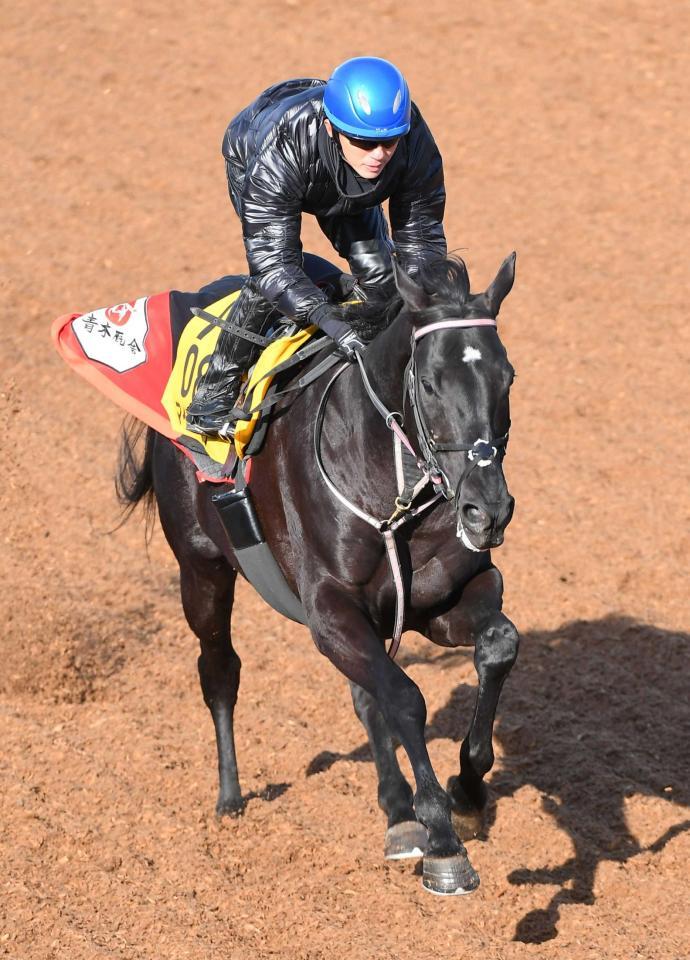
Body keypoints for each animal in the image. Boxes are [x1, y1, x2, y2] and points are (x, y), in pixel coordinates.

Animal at [117, 251, 516, 896]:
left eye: (508, 378)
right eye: (430, 383)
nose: (488, 510)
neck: (388, 483)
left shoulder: (438, 600)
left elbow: (497, 644)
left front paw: (468, 791)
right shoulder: (328, 612)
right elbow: (404, 698)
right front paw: (442, 842)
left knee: (365, 692)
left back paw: (397, 812)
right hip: (201, 569)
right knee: (220, 670)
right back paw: (230, 798)